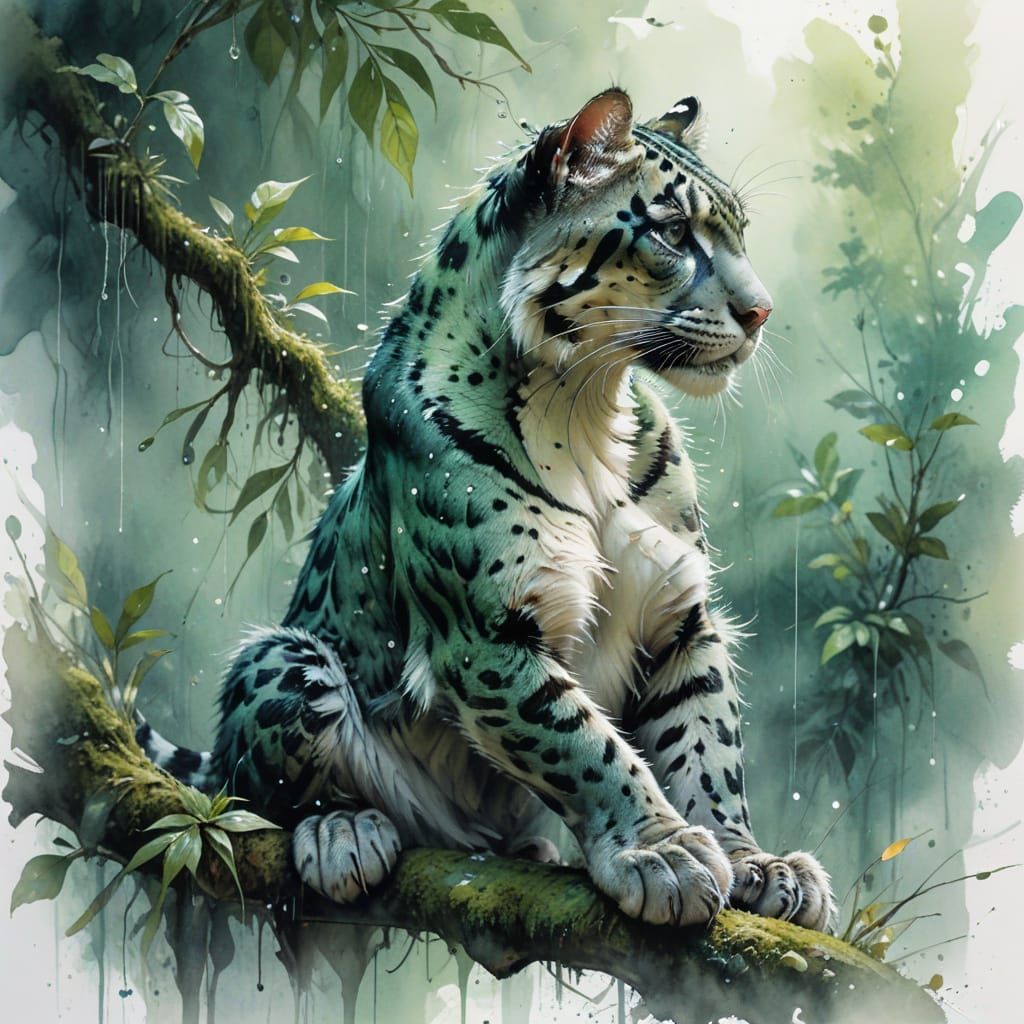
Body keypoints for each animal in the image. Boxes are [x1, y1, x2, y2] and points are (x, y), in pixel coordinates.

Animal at [141, 88, 836, 932]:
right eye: (673, 233)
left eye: (738, 231)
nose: (761, 313)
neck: (585, 407)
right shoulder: (485, 631)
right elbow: (583, 744)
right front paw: (661, 854)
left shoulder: (681, 619)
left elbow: (706, 749)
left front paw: (755, 864)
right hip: (283, 660)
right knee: (262, 793)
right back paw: (343, 832)